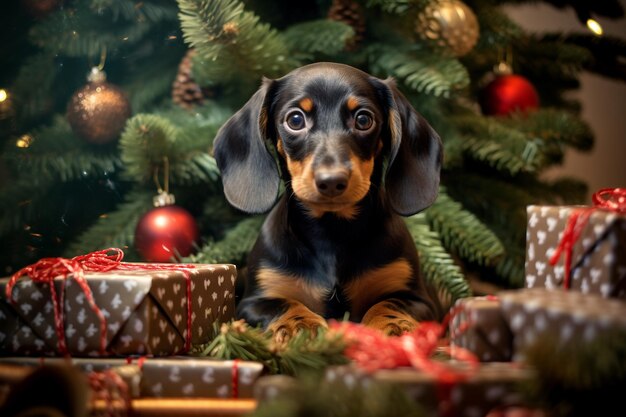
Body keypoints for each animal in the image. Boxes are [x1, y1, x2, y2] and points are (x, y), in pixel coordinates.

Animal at [214, 61, 444, 342]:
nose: (332, 181)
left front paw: (393, 324)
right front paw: (300, 324)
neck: (332, 232)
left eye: (363, 119)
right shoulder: (253, 301)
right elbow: (284, 303)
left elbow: (388, 302)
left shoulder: (419, 299)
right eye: (295, 120)